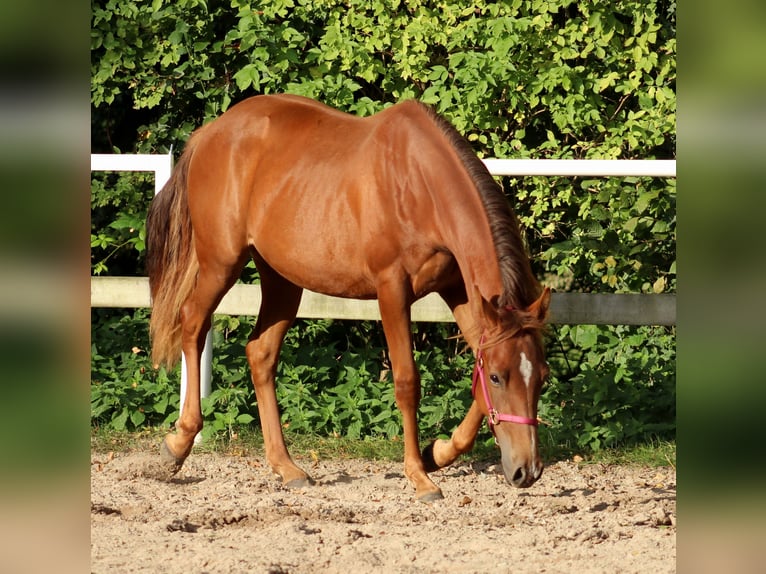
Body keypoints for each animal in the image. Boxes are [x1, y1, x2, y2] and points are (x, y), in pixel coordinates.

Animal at [146, 94, 552, 504]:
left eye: (542, 377)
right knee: (193, 323)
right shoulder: (392, 290)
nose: (527, 471)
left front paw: (437, 452)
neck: (420, 185)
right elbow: (407, 381)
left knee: (260, 353)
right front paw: (419, 475)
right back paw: (178, 444)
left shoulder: (459, 290)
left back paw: (286, 467)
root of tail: (209, 133)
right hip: (221, 263)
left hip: (281, 279)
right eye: (499, 378)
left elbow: (475, 382)